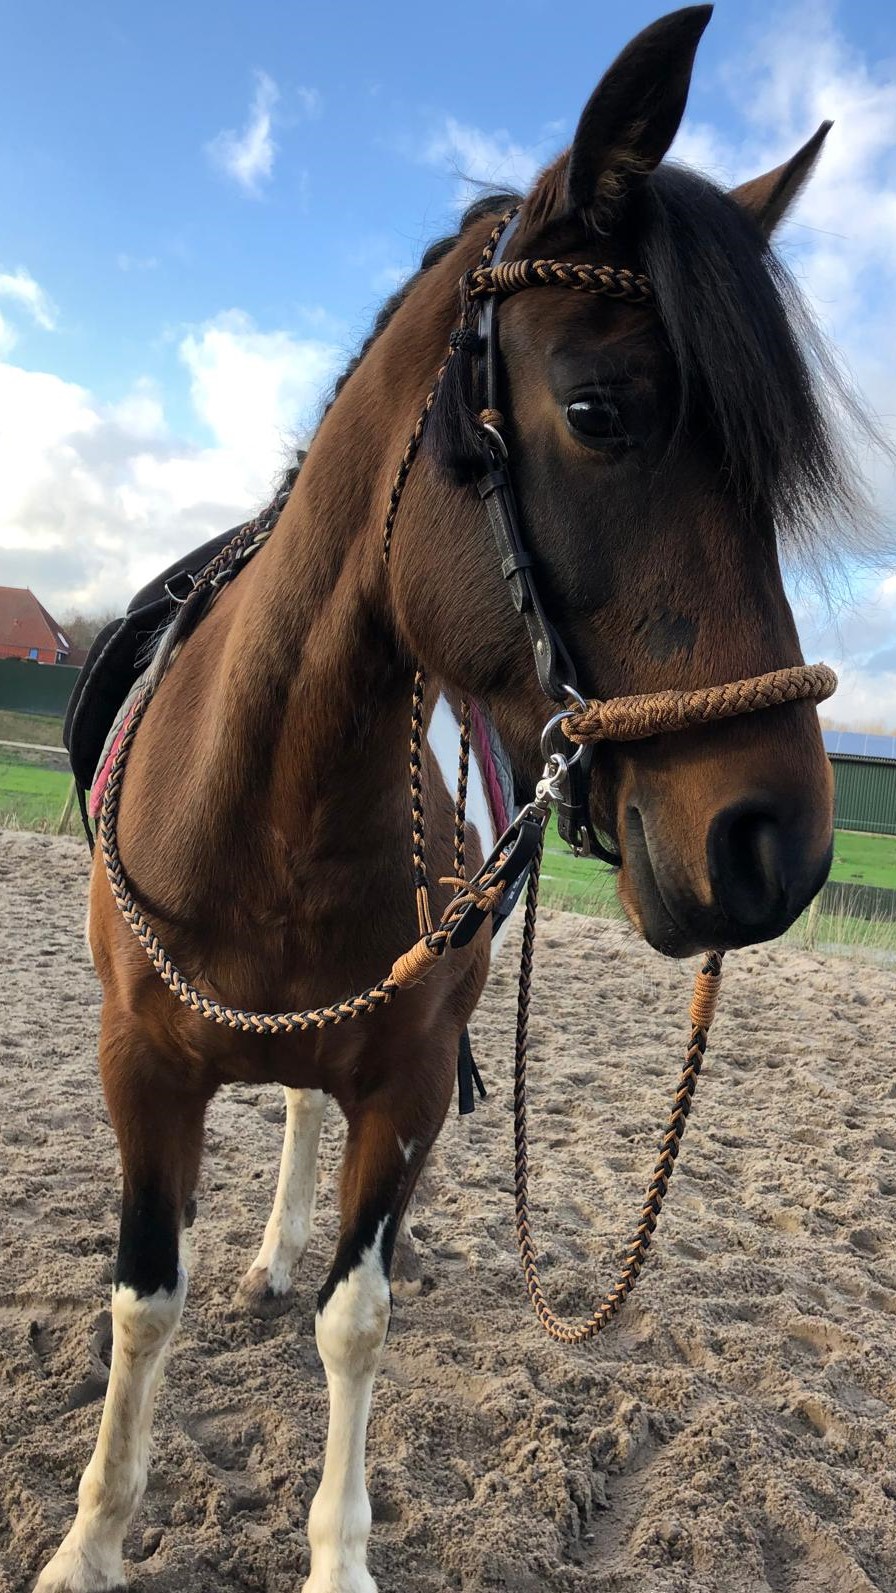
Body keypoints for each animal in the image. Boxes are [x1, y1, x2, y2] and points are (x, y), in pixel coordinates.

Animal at [35, 6, 869, 1590]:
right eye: (597, 411)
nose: (777, 842)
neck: (269, 813)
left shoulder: (409, 1081)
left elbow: (355, 1322)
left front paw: (337, 1553)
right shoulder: (140, 1071)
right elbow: (141, 1304)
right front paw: (94, 1539)